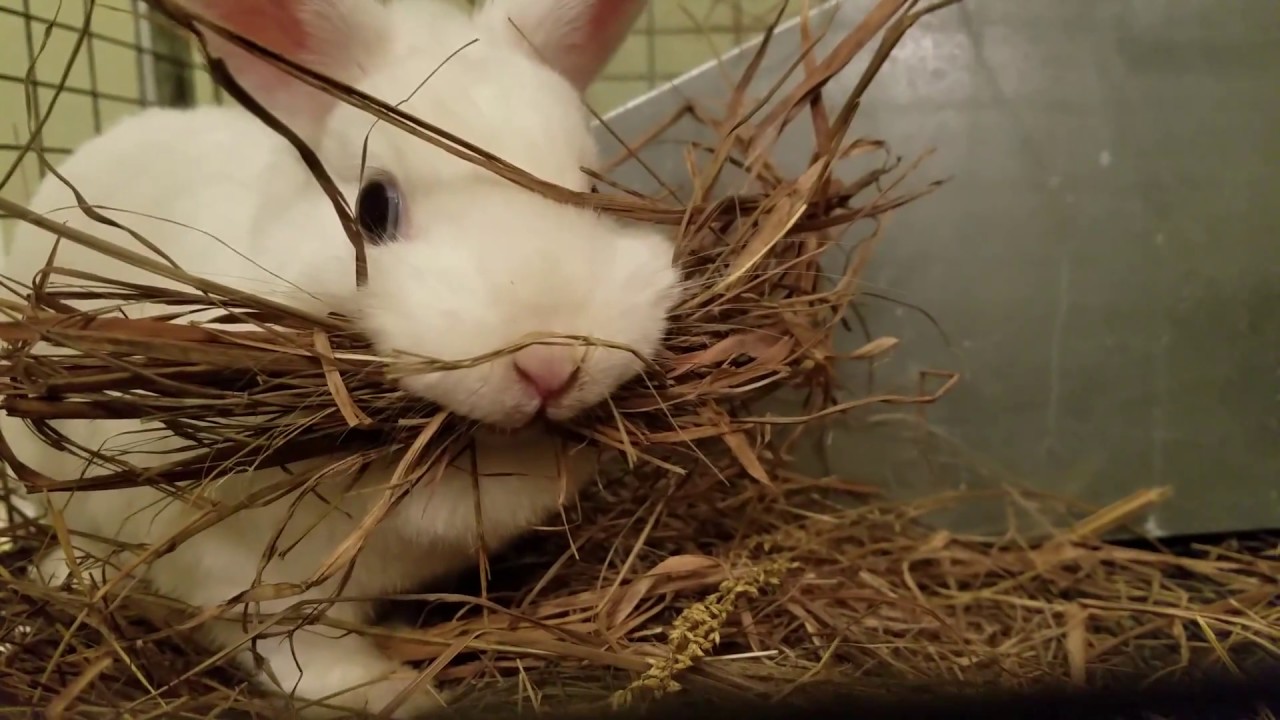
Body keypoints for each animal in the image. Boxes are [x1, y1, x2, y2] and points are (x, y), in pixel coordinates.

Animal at [1, 0, 676, 717]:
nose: (549, 366)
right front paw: (395, 692)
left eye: (595, 190)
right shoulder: (236, 567)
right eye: (373, 207)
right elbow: (298, 646)